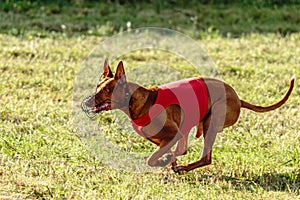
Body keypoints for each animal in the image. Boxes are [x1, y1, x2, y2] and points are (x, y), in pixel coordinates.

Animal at [82, 59, 296, 173]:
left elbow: (153, 158)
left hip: (211, 122)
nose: (86, 102)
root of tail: (238, 98)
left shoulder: (172, 133)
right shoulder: (165, 137)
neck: (141, 101)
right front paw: (168, 160)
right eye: (97, 86)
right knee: (186, 149)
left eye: (107, 90)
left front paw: (163, 161)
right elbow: (168, 152)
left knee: (205, 158)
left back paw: (183, 167)